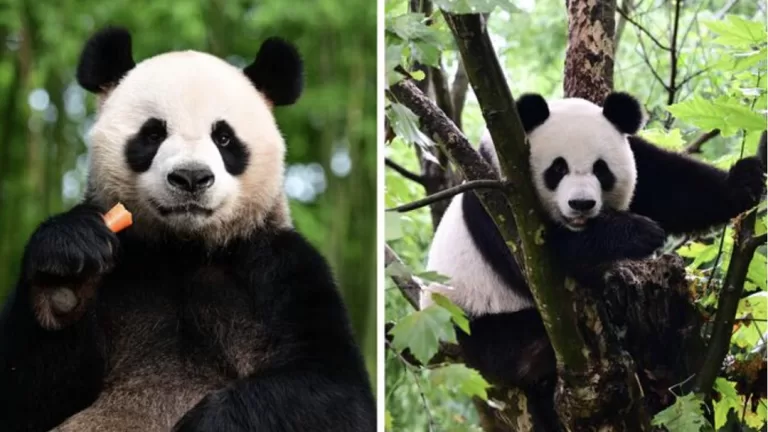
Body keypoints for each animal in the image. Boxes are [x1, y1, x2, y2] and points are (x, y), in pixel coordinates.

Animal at [0, 27, 375, 432]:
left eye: (224, 137)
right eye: (152, 134)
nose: (191, 177)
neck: (183, 249)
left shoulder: (281, 268)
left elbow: (336, 392)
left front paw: (206, 421)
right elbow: (27, 392)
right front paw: (65, 278)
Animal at [421, 91, 765, 420]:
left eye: (601, 170)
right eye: (557, 168)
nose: (581, 204)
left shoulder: (637, 158)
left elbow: (671, 186)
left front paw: (746, 181)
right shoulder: (498, 198)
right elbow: (539, 259)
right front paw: (637, 233)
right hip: (477, 319)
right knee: (521, 346)